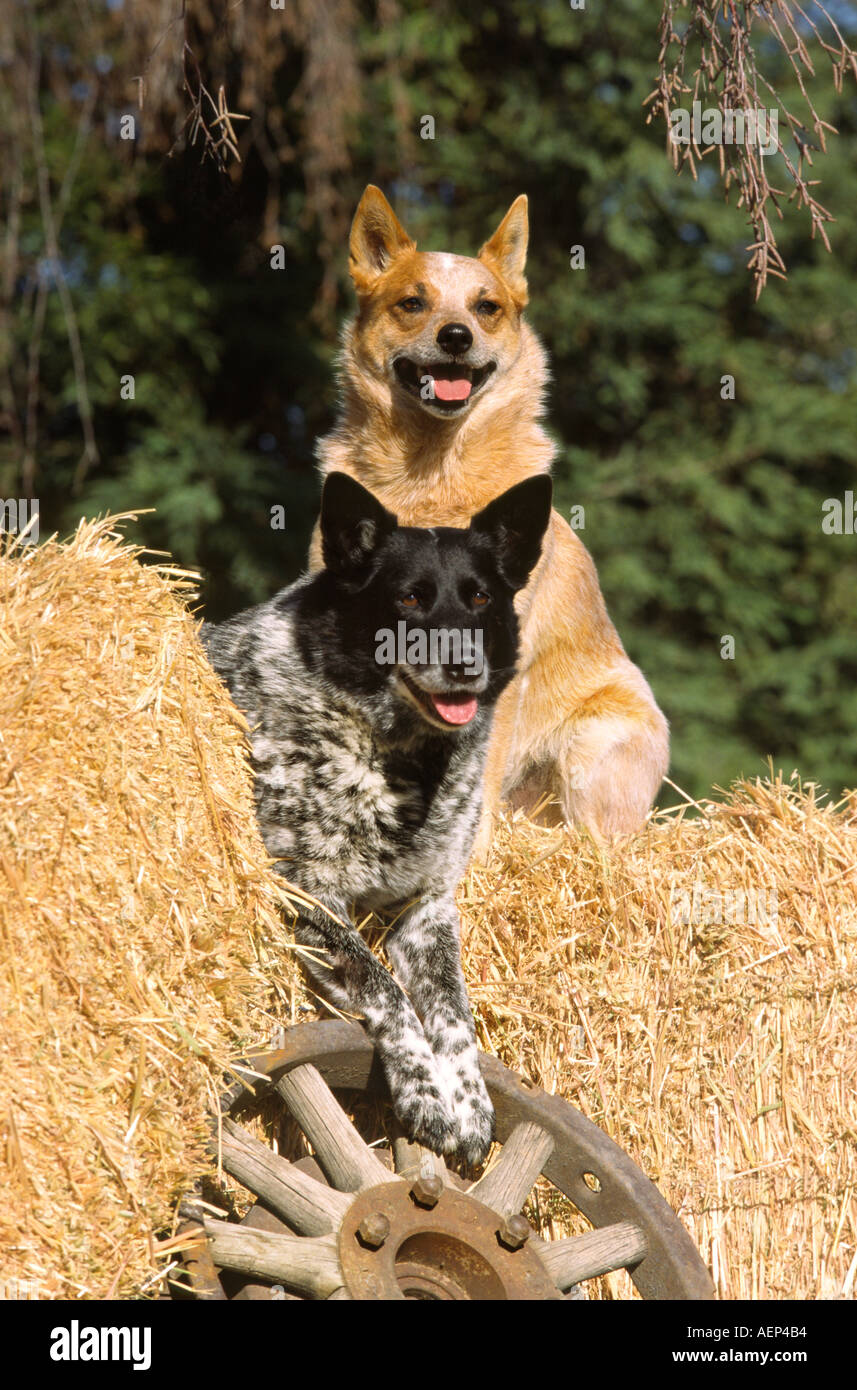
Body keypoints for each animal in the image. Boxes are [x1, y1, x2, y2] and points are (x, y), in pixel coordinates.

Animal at [202, 469, 547, 1162]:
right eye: (409, 599)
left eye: (478, 598)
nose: (464, 664)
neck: (398, 758)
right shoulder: (309, 896)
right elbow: (385, 986)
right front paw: (424, 1093)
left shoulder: (427, 910)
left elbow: (455, 1014)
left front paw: (470, 1102)